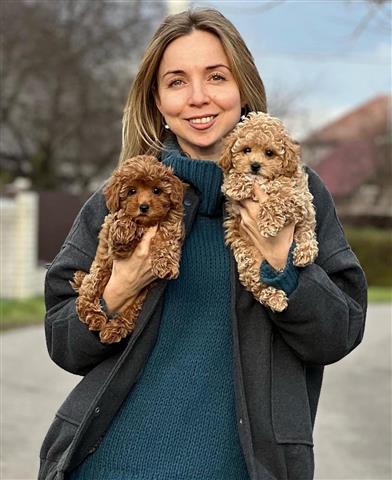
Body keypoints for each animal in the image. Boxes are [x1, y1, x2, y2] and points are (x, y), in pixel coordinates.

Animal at [71, 156, 185, 344]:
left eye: (157, 190)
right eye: (131, 191)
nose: (144, 207)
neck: (145, 223)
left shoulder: (171, 223)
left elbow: (166, 239)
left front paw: (166, 265)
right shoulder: (113, 239)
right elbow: (121, 219)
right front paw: (125, 227)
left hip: (139, 298)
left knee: (128, 316)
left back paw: (113, 330)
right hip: (98, 273)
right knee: (86, 297)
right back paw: (95, 318)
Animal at [220, 111, 318, 312]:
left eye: (269, 153)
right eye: (246, 150)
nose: (255, 165)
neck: (264, 181)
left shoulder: (297, 198)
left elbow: (276, 199)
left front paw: (268, 224)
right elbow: (235, 179)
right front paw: (236, 183)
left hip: (306, 223)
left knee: (307, 238)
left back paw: (303, 253)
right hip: (250, 259)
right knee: (258, 284)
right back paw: (275, 299)